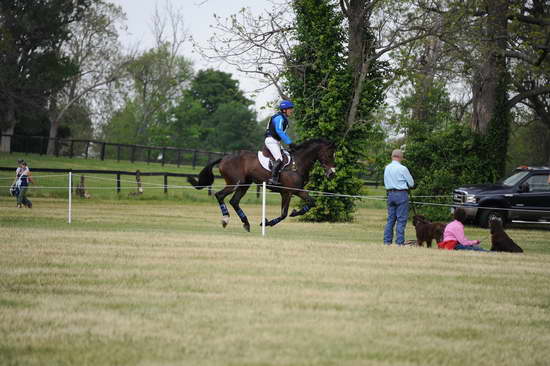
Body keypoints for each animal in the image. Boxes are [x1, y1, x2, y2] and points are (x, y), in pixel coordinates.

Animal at [189, 139, 336, 230]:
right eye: (329, 155)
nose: (332, 174)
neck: (298, 163)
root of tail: (225, 157)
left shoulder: (297, 191)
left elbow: (311, 202)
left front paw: (295, 212)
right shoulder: (287, 192)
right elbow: (283, 214)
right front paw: (266, 223)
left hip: (244, 185)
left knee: (234, 201)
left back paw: (246, 223)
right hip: (234, 184)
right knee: (220, 195)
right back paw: (226, 219)